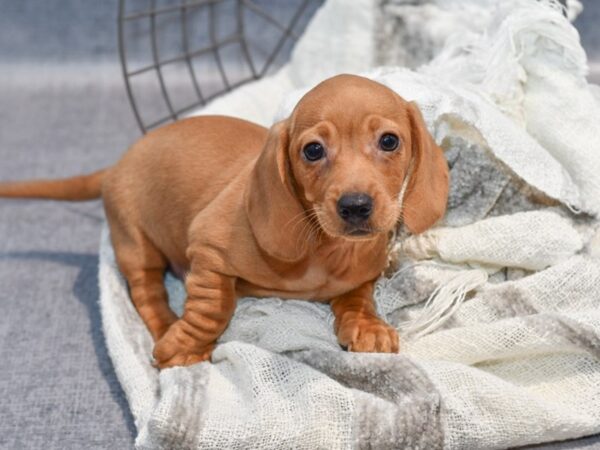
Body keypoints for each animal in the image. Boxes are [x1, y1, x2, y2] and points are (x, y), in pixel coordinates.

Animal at [0, 74, 450, 370]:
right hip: (135, 241)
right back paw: (167, 326)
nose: (355, 206)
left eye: (389, 141)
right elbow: (214, 307)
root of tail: (115, 166)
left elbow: (358, 296)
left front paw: (367, 325)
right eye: (313, 150)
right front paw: (183, 343)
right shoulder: (208, 249)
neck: (324, 249)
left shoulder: (362, 273)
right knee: (146, 292)